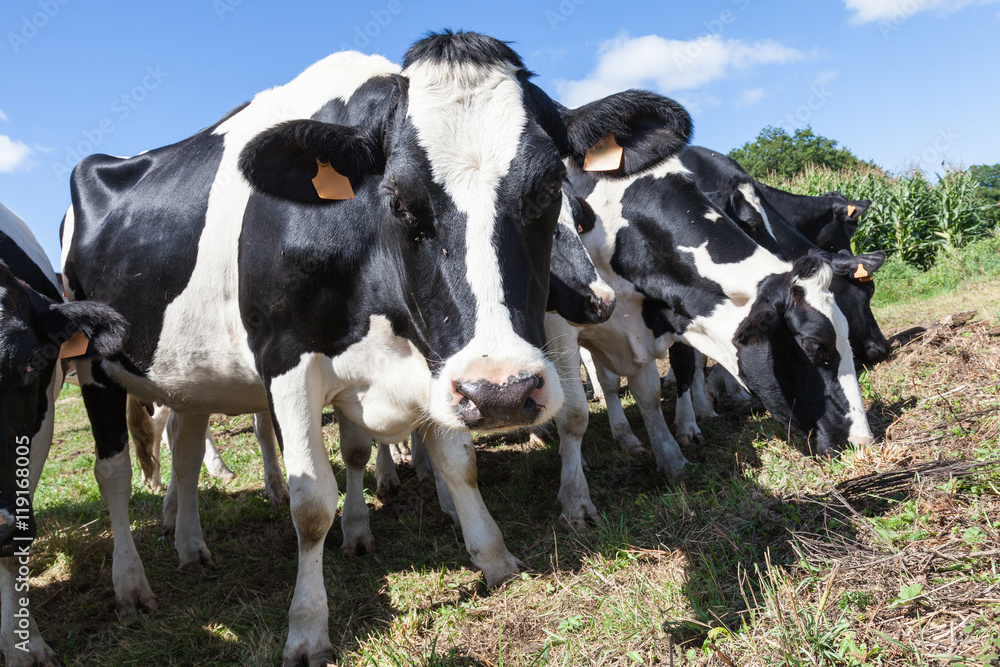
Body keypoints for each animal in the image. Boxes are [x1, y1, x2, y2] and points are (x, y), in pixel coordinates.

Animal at [60, 32, 688, 667]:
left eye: (549, 188)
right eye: (400, 201)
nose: (502, 392)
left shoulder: (437, 362)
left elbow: (457, 462)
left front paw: (494, 558)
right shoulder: (288, 365)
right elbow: (312, 503)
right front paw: (307, 629)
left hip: (189, 380)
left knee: (186, 451)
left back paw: (189, 543)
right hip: (92, 363)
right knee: (113, 473)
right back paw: (131, 584)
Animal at [544, 154, 872, 528]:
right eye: (813, 345)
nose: (863, 442)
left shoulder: (651, 319)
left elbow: (652, 395)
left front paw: (672, 457)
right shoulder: (563, 324)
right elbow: (574, 415)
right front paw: (575, 502)